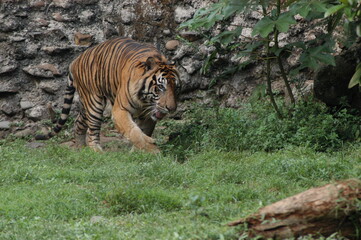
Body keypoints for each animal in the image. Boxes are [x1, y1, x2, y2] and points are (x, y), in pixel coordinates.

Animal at [35, 37, 179, 154]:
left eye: (176, 88)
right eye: (161, 87)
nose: (171, 108)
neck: (144, 100)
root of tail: (75, 61)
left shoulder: (148, 115)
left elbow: (144, 130)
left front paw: (141, 150)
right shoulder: (120, 110)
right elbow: (134, 132)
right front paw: (152, 149)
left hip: (85, 105)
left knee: (78, 122)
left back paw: (81, 147)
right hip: (94, 102)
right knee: (92, 130)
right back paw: (96, 150)